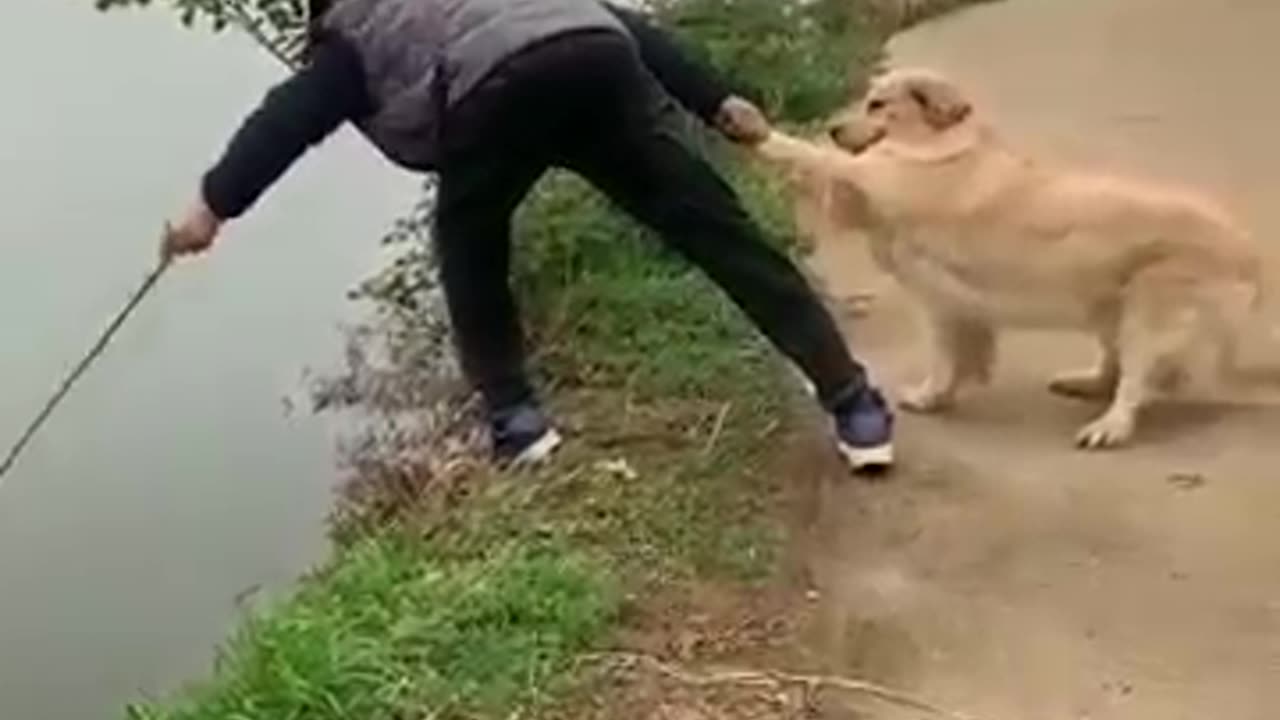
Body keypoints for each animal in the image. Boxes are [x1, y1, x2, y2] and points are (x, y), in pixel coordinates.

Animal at [752, 68, 1264, 448]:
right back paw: (1085, 384)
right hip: (1109, 308)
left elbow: (816, 157)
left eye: (878, 105)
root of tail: (1250, 250)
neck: (941, 146)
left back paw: (1110, 427)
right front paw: (942, 393)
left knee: (1135, 381)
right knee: (1114, 366)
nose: (834, 128)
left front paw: (759, 132)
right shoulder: (948, 299)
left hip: (1149, 312)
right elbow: (958, 352)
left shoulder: (882, 191)